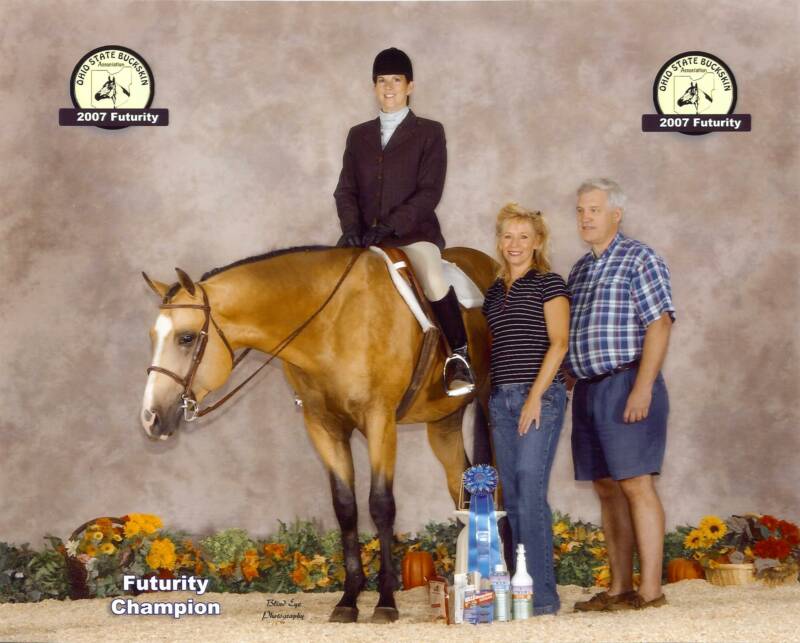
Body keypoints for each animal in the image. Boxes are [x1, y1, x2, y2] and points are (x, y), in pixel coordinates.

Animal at [139, 245, 498, 623]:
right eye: (153, 337)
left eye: (186, 338)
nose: (150, 418)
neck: (332, 323)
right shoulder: (323, 426)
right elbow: (345, 507)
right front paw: (349, 598)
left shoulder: (379, 420)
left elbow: (380, 505)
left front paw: (385, 600)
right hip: (443, 424)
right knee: (460, 486)